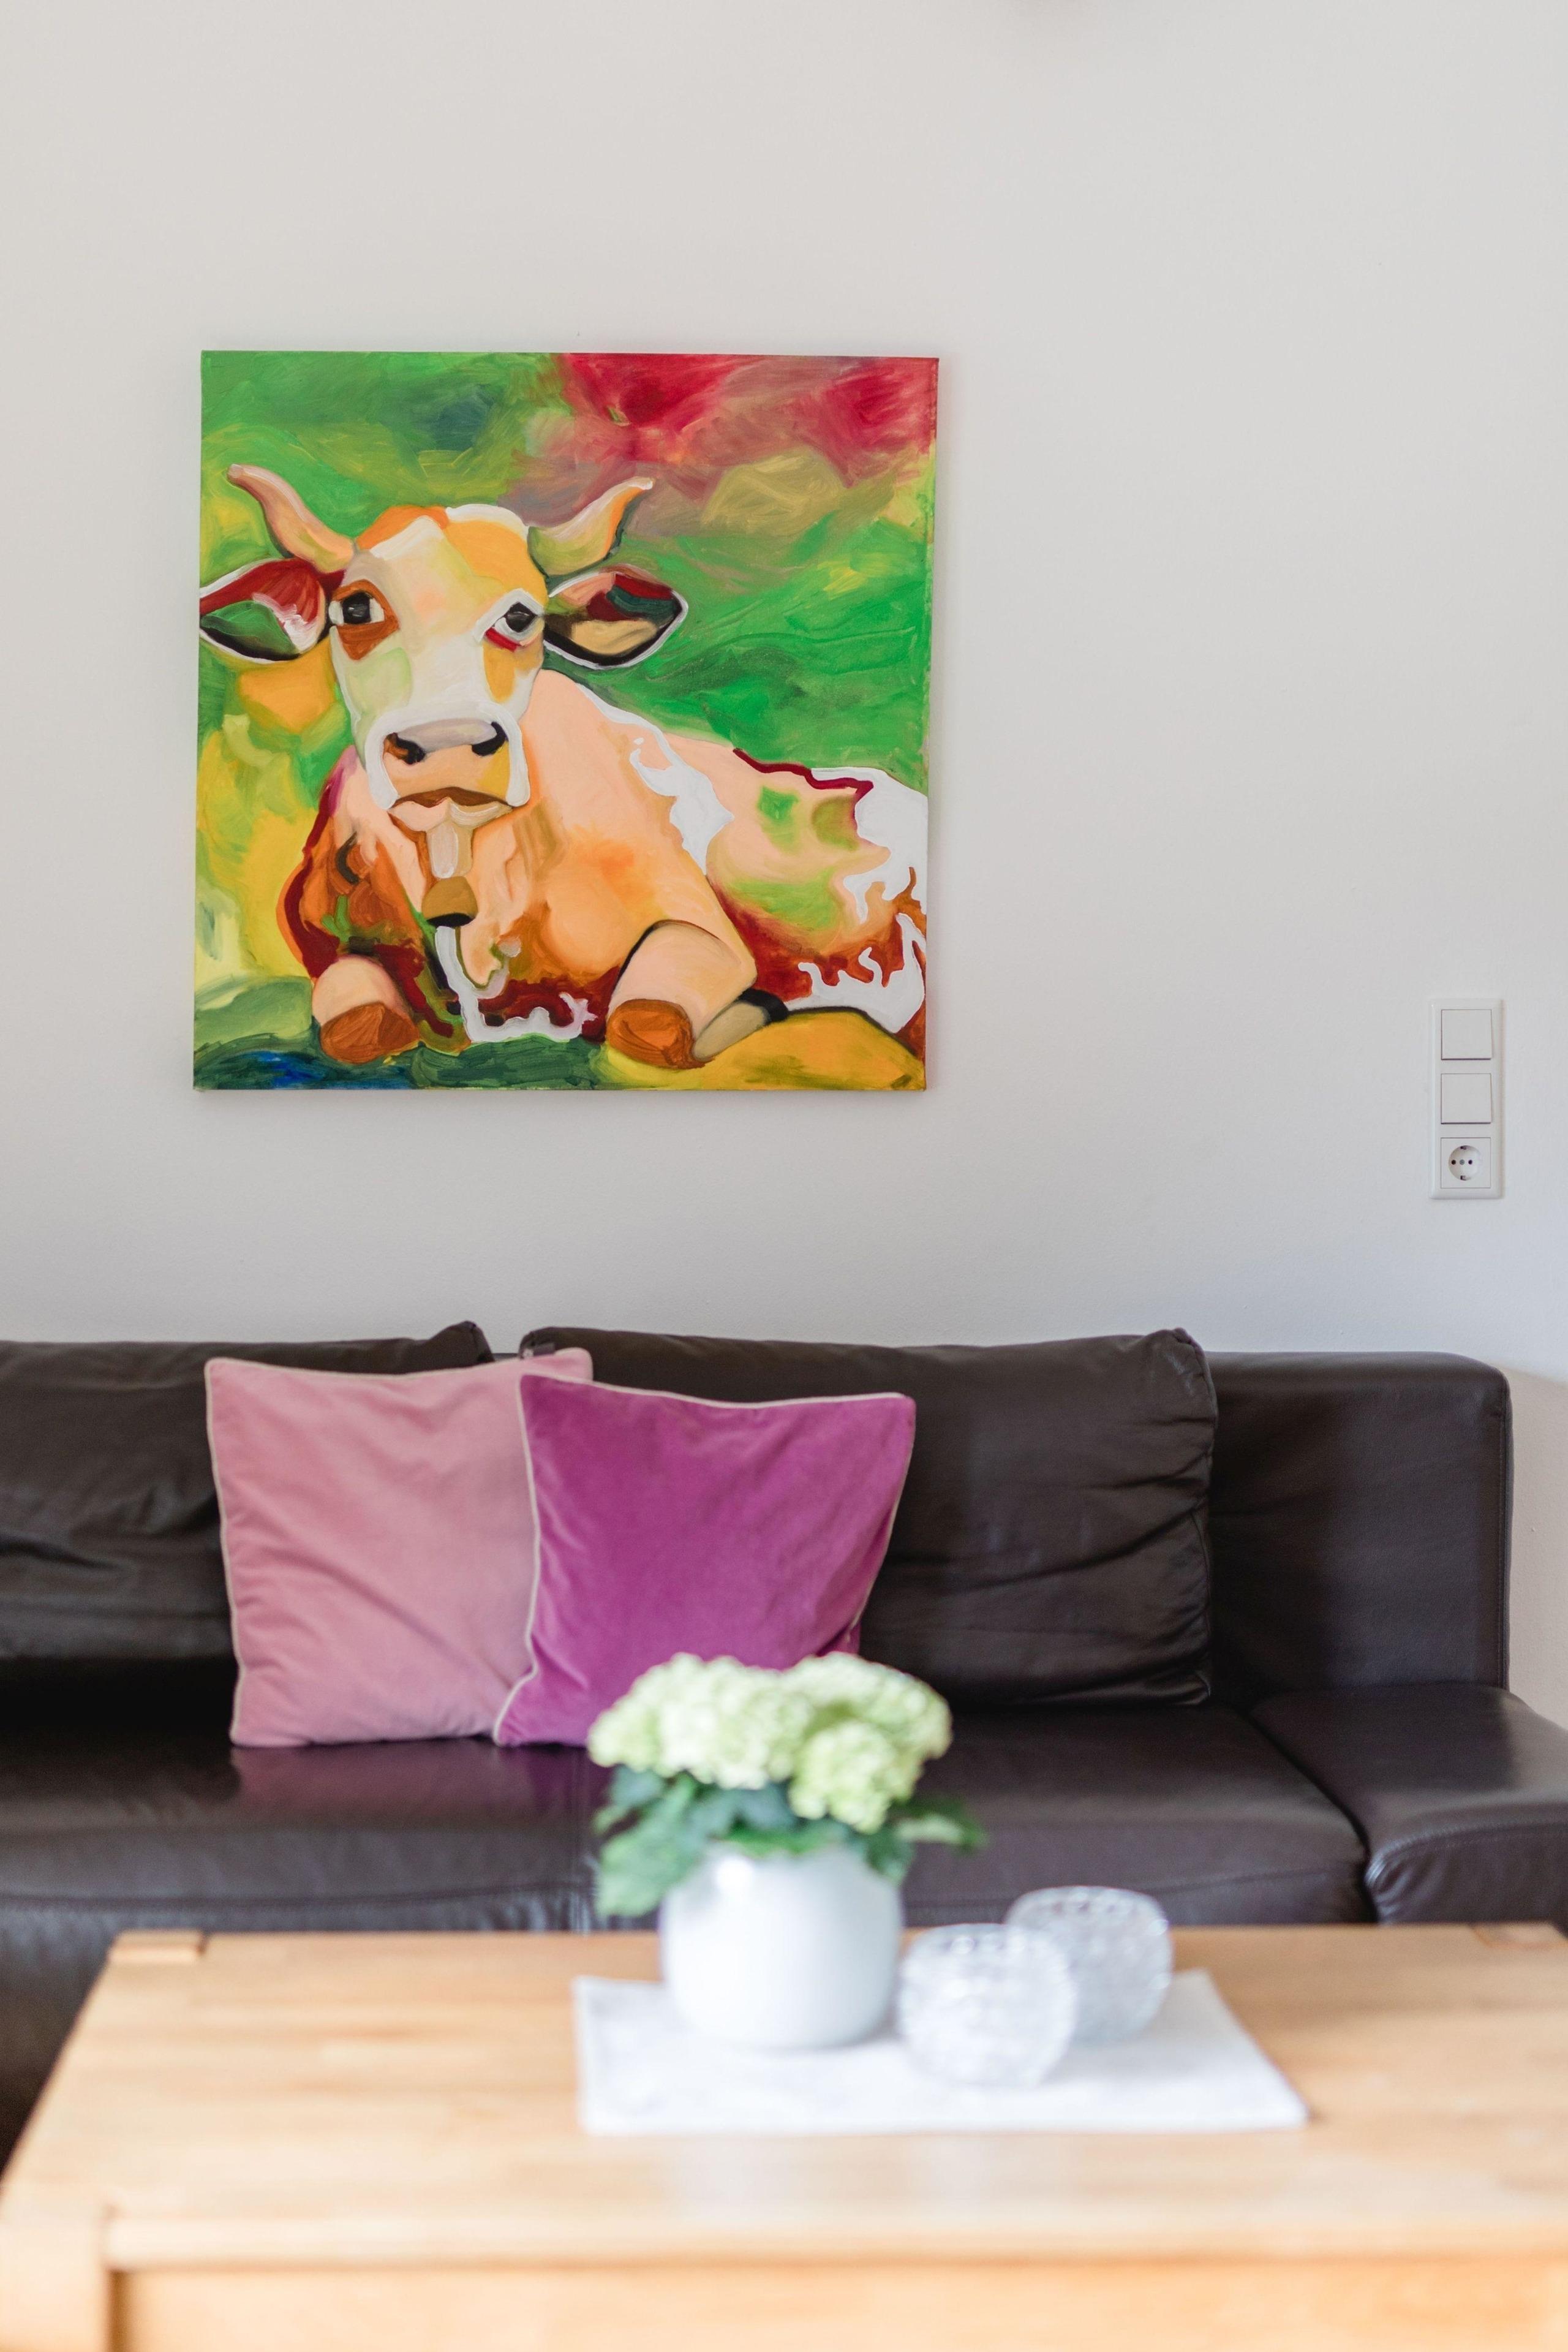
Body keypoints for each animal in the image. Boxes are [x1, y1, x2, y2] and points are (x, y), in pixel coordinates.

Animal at [199, 467, 927, 1077]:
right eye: (356, 609)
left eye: (521, 616)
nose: (447, 744)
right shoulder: (327, 944)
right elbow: (363, 1025)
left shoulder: (701, 930)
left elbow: (645, 1024)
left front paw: (753, 1009)